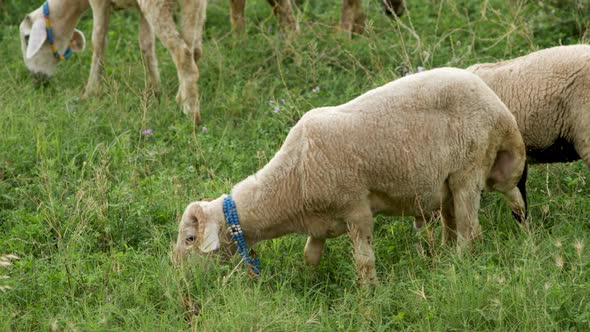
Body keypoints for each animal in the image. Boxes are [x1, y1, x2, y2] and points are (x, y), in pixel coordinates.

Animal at [19, 0, 208, 123]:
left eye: (27, 38)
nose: (36, 79)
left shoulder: (99, 2)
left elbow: (98, 41)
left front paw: (90, 92)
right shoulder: (140, 11)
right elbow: (146, 45)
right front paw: (155, 90)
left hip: (156, 4)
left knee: (182, 52)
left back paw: (191, 113)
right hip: (195, 4)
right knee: (193, 50)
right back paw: (182, 98)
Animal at [173, 67, 528, 282]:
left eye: (190, 239)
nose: (176, 273)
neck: (291, 182)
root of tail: (498, 107)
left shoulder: (357, 211)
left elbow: (364, 262)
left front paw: (369, 298)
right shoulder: (319, 224)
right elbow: (310, 255)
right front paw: (311, 283)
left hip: (468, 170)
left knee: (470, 231)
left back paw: (457, 265)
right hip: (464, 178)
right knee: (493, 202)